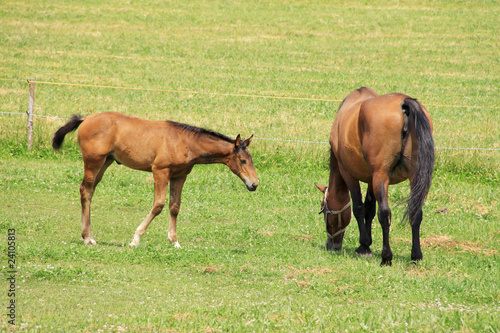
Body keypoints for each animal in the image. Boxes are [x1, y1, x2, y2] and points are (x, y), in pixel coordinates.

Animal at [51, 111, 258, 246]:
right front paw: (136, 239)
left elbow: (175, 207)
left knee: (89, 190)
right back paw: (88, 238)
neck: (185, 142)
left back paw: (89, 236)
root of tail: (86, 118)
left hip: (105, 162)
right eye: (242, 160)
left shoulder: (180, 176)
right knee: (86, 191)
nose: (254, 184)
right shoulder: (160, 171)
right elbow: (158, 205)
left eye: (251, 159)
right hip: (93, 161)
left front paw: (174, 242)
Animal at [316, 87, 434, 266]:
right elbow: (369, 209)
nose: (331, 245)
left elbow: (359, 208)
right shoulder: (371, 179)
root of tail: (404, 104)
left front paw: (364, 245)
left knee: (384, 213)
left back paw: (386, 257)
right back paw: (416, 255)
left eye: (324, 211)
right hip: (413, 177)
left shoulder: (348, 173)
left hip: (381, 175)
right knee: (416, 212)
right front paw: (367, 244)